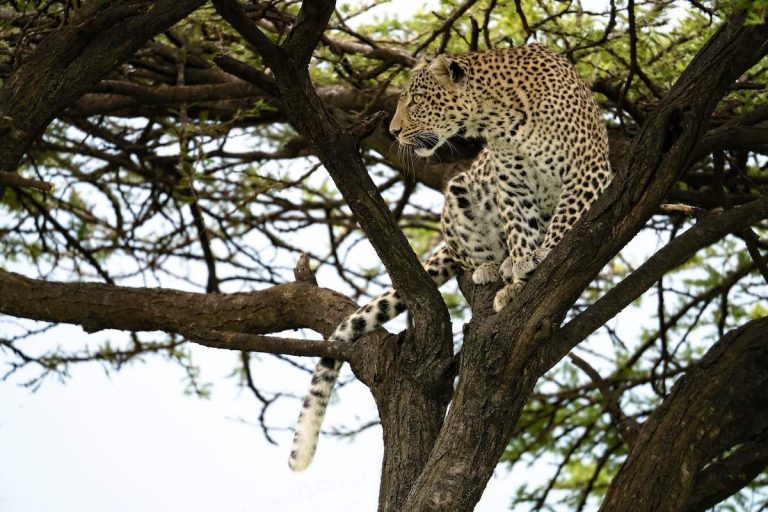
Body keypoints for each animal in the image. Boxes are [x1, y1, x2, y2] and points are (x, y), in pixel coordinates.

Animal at [289, 44, 612, 471]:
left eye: (415, 99)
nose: (393, 131)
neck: (500, 116)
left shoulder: (586, 169)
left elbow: (566, 220)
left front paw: (543, 255)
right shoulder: (511, 181)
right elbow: (518, 226)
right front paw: (518, 276)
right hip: (459, 192)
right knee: (471, 253)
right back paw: (494, 267)